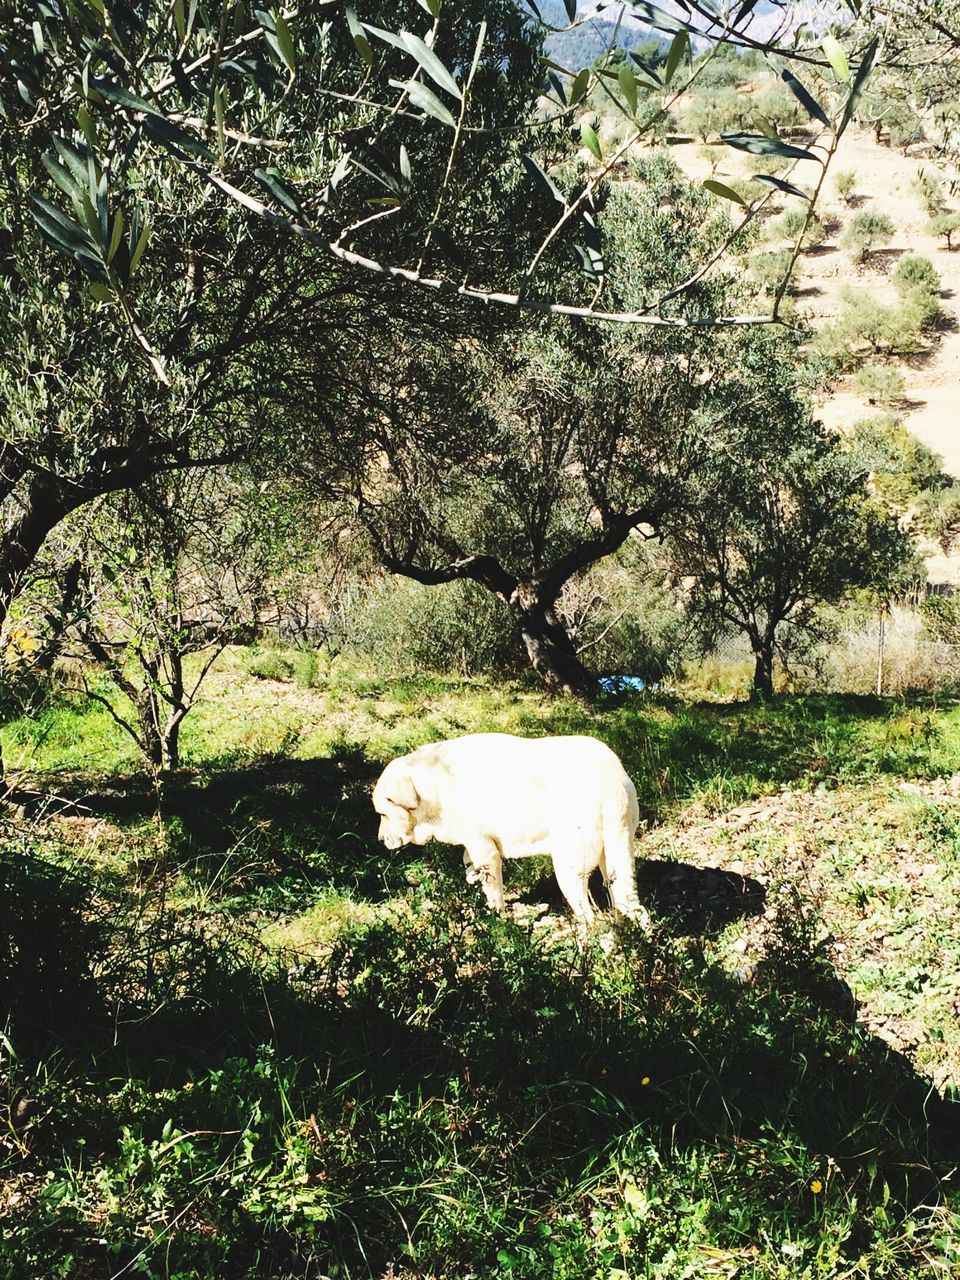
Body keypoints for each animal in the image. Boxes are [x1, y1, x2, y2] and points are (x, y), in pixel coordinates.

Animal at [373, 737, 647, 926]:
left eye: (383, 814)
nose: (380, 839)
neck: (432, 786)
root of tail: (613, 784)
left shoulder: (486, 850)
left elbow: (493, 893)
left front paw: (497, 919)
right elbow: (468, 861)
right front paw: (471, 875)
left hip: (570, 868)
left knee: (590, 918)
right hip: (614, 858)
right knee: (632, 908)